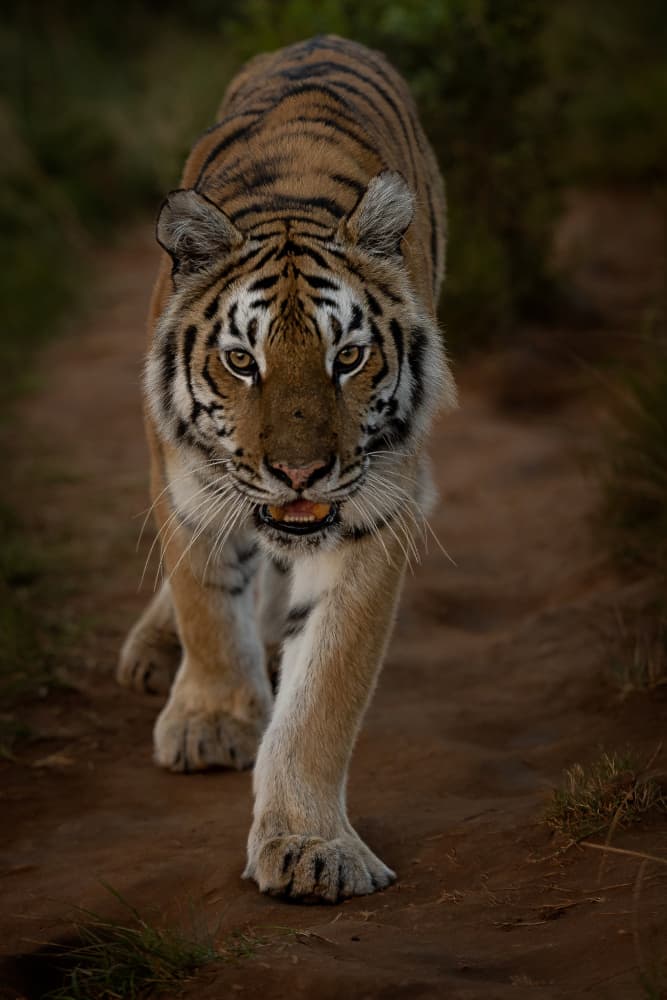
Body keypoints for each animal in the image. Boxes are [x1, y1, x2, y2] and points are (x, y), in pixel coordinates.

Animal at [117, 34, 457, 903]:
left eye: (349, 358)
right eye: (242, 361)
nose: (299, 473)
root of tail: (322, 37)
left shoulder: (374, 512)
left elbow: (324, 692)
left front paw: (311, 847)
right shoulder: (185, 480)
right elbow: (206, 604)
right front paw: (213, 722)